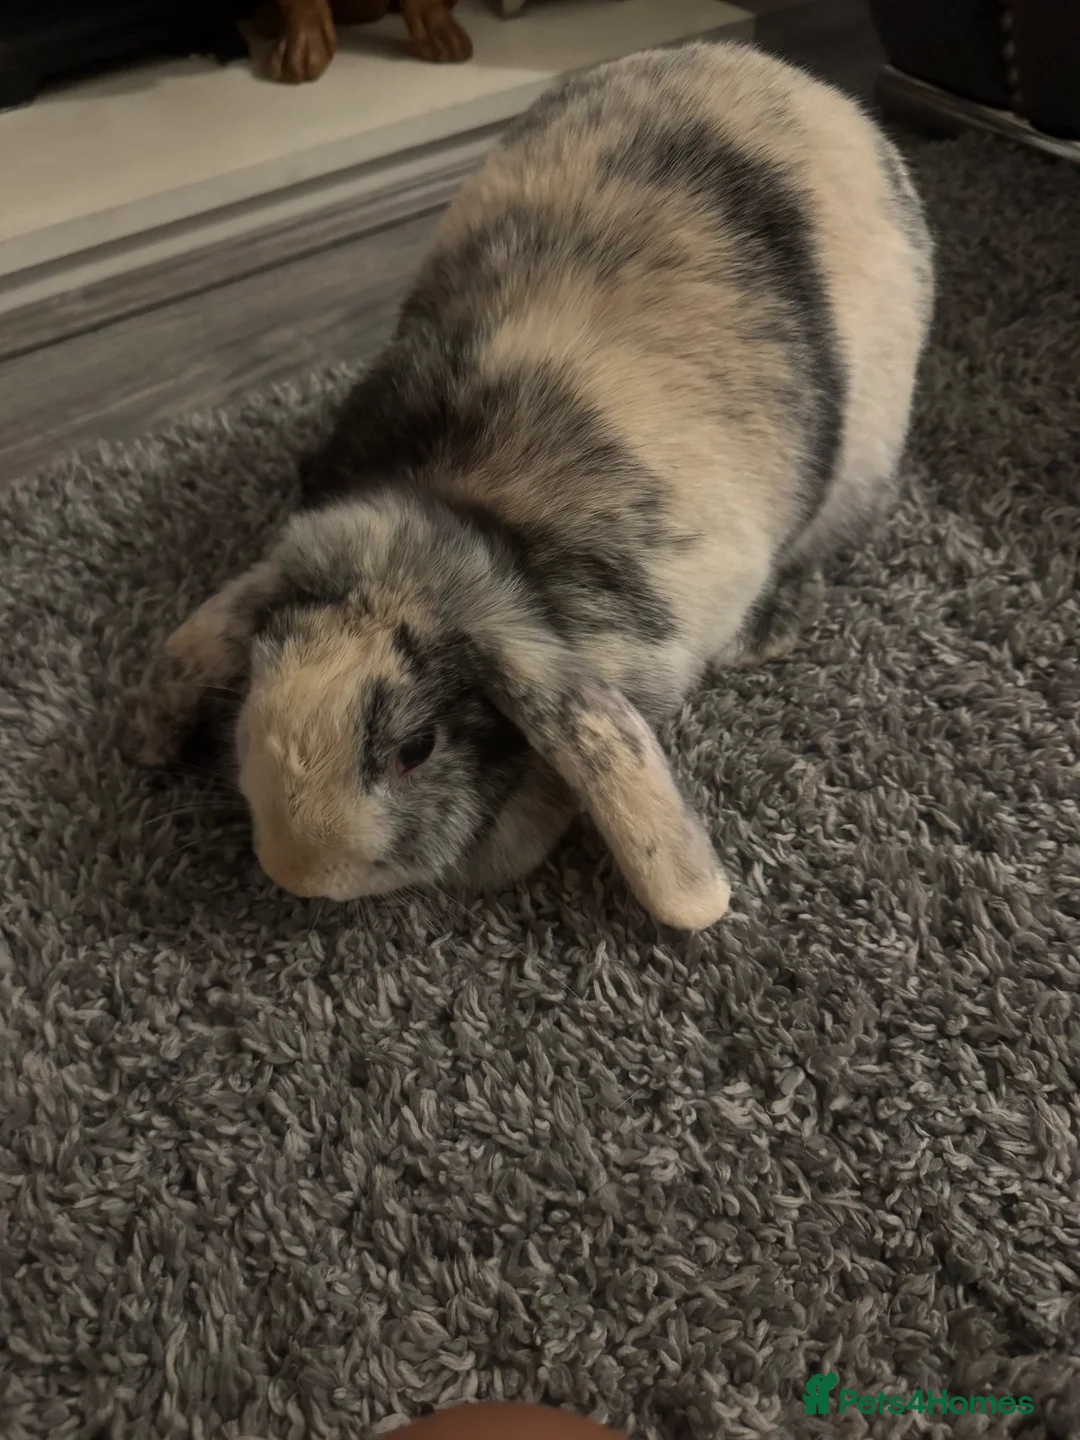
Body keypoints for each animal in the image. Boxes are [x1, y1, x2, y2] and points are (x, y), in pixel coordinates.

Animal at [132, 40, 934, 930]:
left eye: (417, 749)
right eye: (256, 685)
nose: (297, 872)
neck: (465, 519)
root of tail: (794, 79)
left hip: (863, 459)